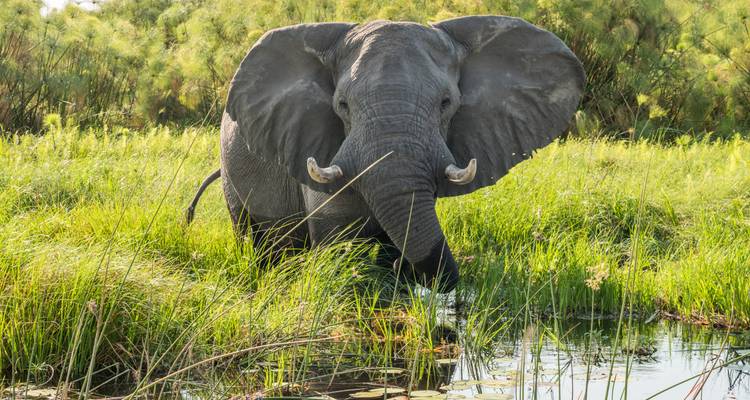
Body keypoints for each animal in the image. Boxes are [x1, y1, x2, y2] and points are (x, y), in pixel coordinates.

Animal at [185, 16, 585, 293]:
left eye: (447, 103)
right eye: (342, 106)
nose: (407, 271)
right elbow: (339, 241)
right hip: (231, 170)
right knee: (255, 238)